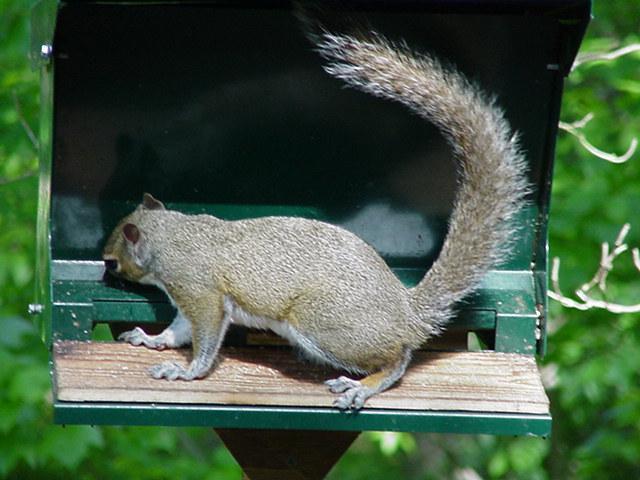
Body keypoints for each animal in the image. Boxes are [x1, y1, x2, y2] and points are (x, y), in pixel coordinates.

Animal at [102, 15, 528, 408]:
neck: (171, 234)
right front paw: (150, 338)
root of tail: (406, 313)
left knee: (398, 358)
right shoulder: (186, 300)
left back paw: (362, 386)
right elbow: (177, 331)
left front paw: (187, 371)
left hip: (320, 322)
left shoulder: (199, 290)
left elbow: (204, 337)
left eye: (111, 261)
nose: (107, 272)